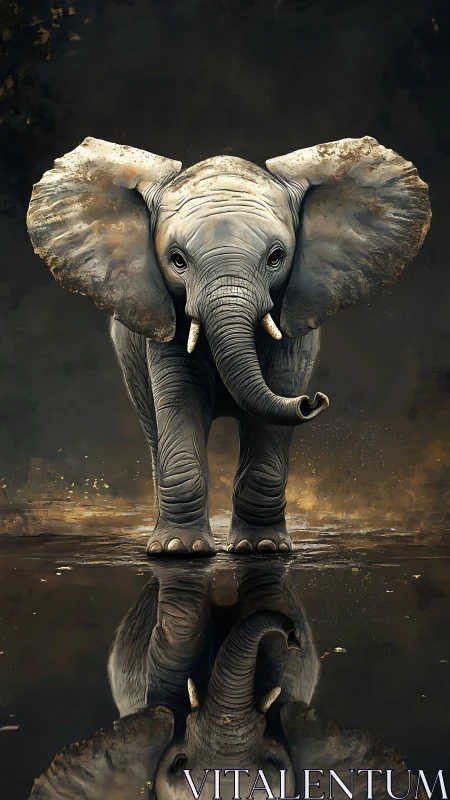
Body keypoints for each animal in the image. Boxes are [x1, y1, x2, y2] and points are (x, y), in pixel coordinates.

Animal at [27, 136, 431, 556]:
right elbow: (180, 400)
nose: (314, 400)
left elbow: (276, 399)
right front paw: (178, 550)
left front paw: (263, 548)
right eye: (177, 261)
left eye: (276, 257)